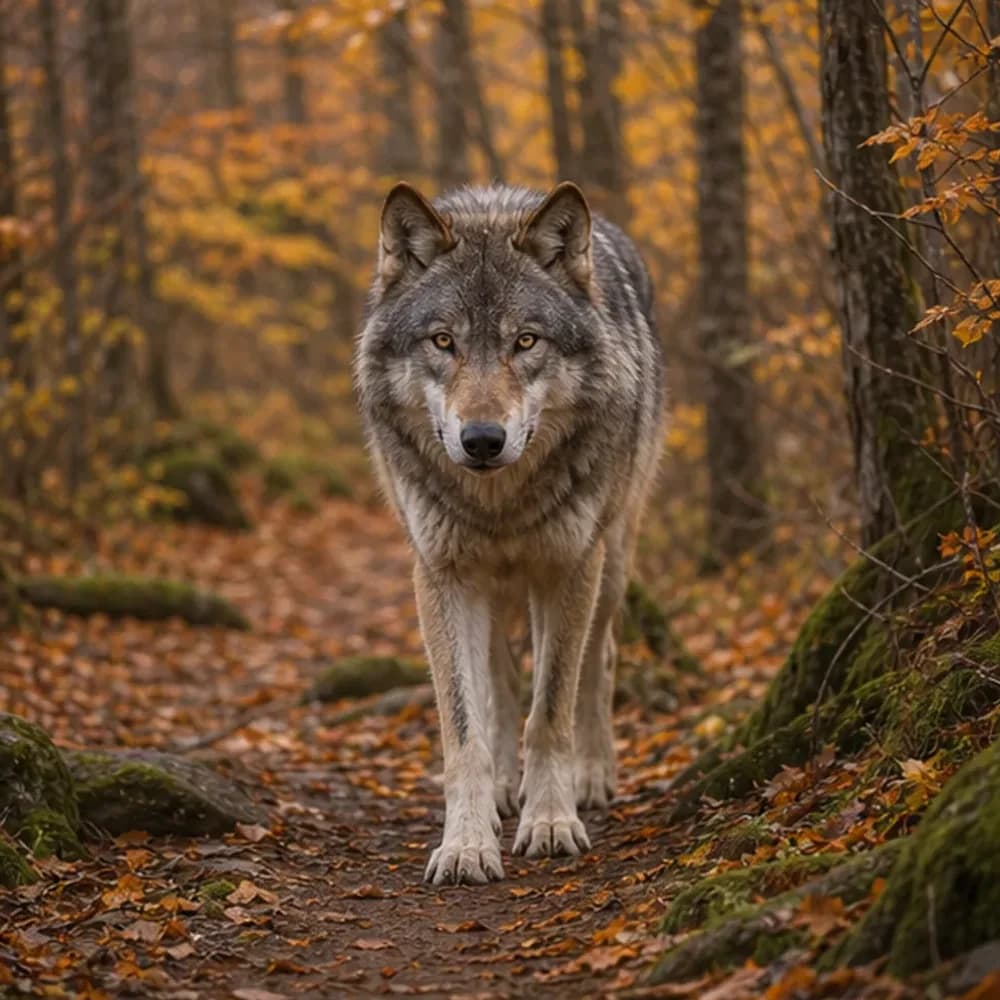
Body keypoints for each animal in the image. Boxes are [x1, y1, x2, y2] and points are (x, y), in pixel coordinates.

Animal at [355, 182, 665, 885]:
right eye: (443, 341)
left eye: (526, 341)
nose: (482, 439)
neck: (500, 503)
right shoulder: (440, 575)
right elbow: (464, 727)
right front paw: (467, 844)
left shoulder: (569, 567)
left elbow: (549, 710)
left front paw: (550, 821)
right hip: (487, 589)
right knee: (497, 682)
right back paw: (500, 788)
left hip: (612, 561)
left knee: (600, 661)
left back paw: (592, 776)